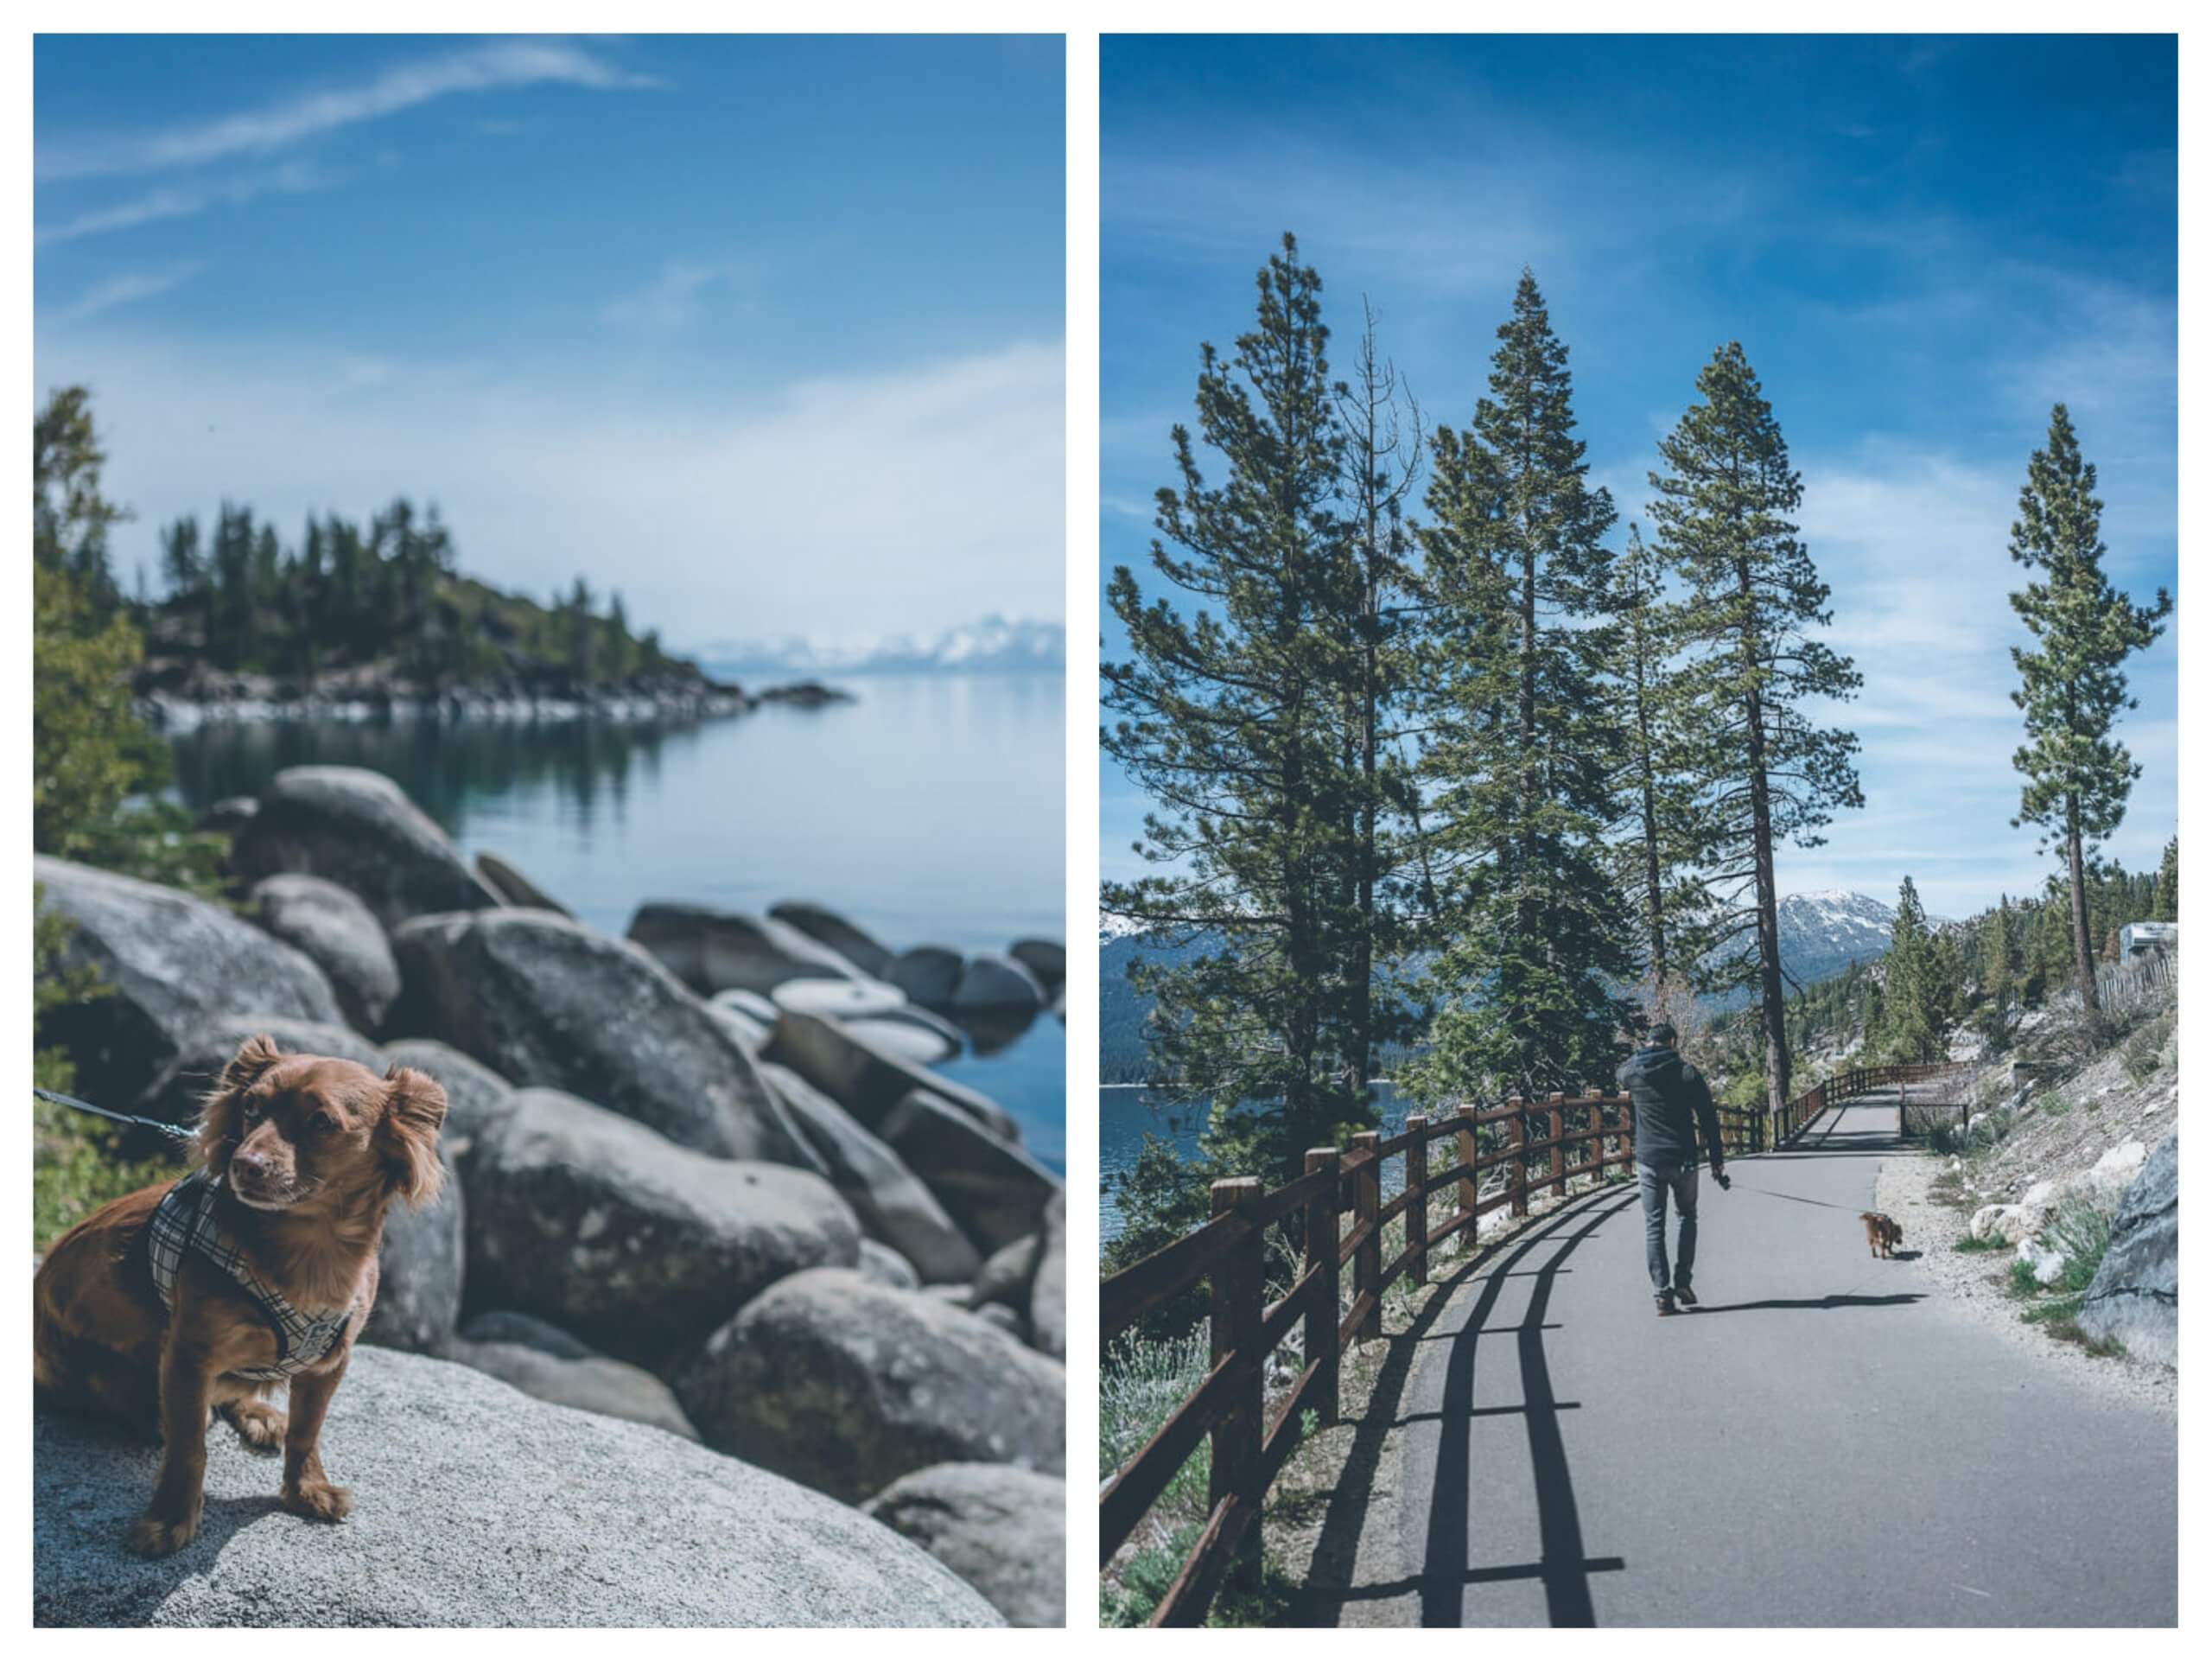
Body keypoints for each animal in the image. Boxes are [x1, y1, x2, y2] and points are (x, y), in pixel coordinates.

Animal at [32, 1040, 447, 1557]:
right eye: (251, 1108)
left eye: (322, 1122)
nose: (244, 1164)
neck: (313, 1249)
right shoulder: (188, 1355)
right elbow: (189, 1444)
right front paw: (171, 1519)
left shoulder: (329, 1363)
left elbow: (307, 1431)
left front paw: (306, 1491)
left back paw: (261, 1414)